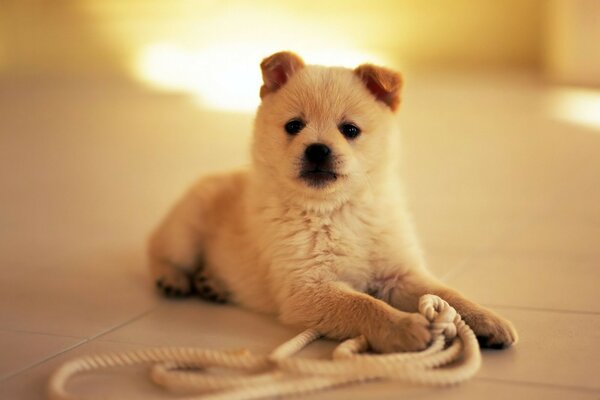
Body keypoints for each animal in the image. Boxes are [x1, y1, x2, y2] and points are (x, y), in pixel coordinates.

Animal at [148, 51, 516, 352]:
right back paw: (175, 279)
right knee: (160, 251)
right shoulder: (308, 288)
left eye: (350, 130)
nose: (317, 149)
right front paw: (404, 327)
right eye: (293, 126)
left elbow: (448, 295)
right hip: (185, 230)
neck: (338, 211)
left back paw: (212, 284)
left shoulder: (398, 274)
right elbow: (365, 305)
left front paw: (485, 320)